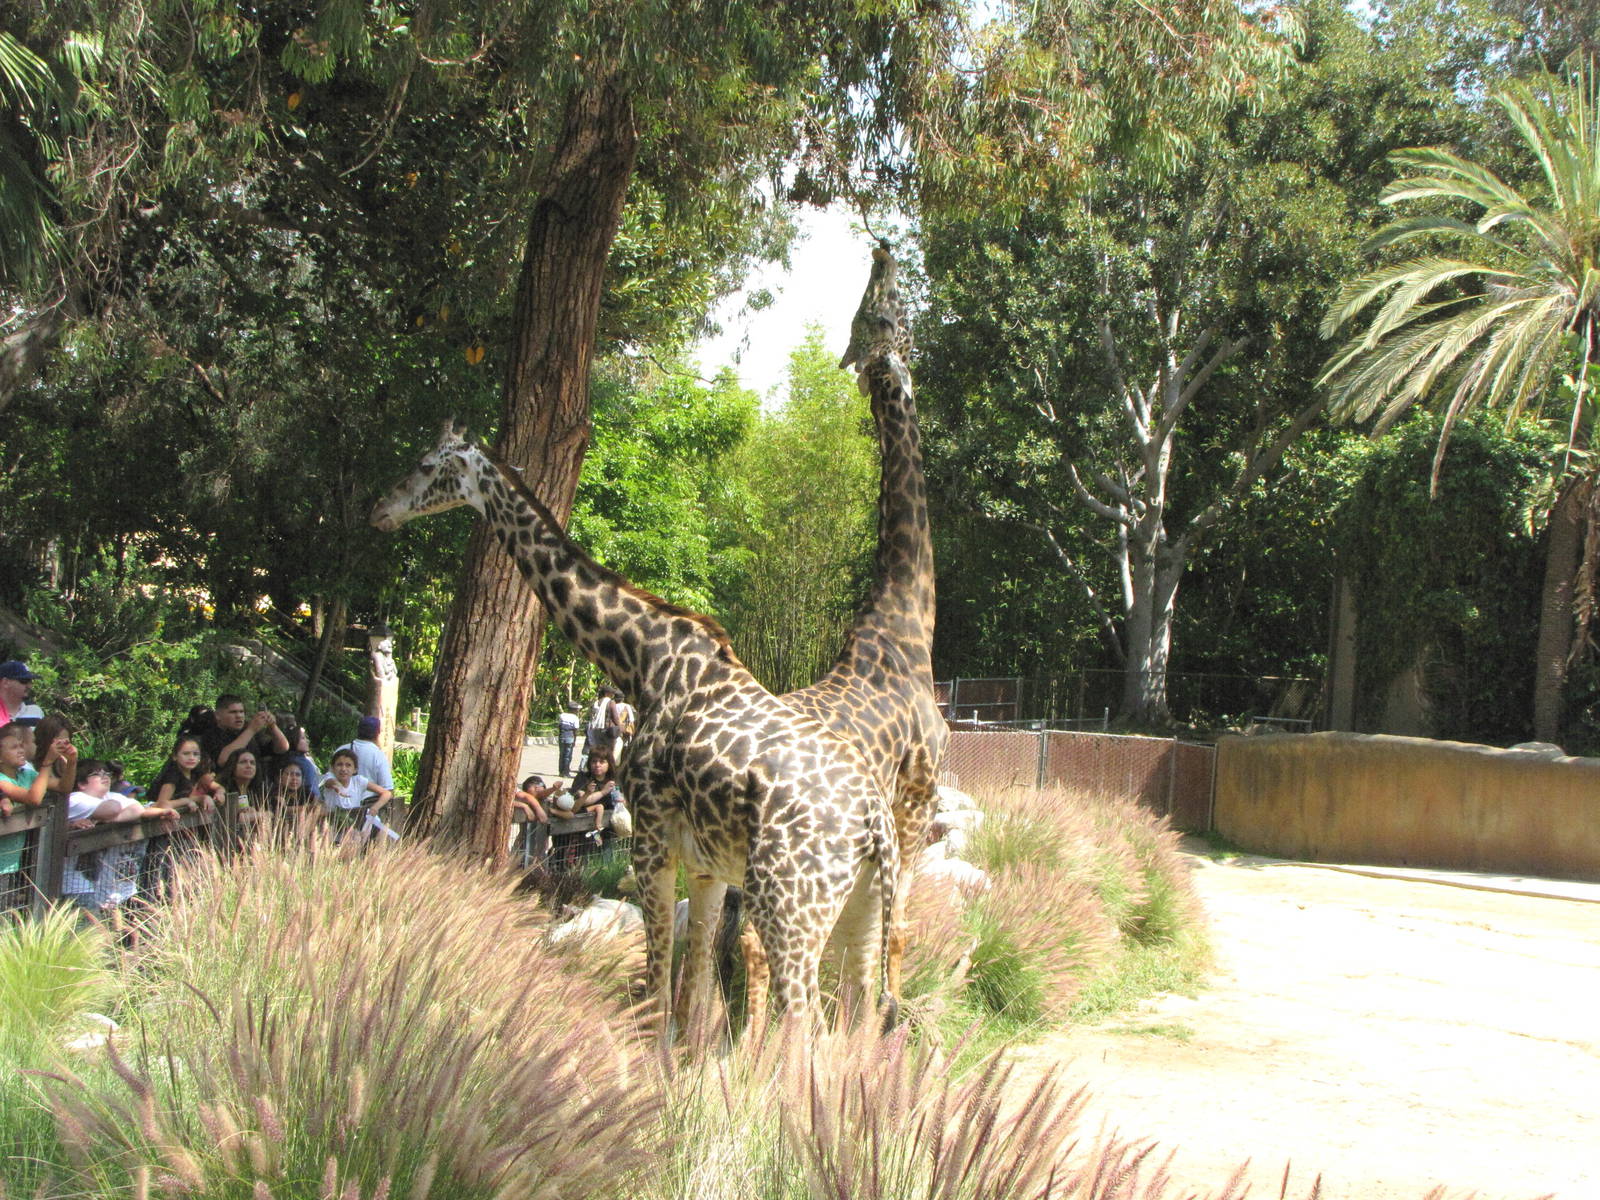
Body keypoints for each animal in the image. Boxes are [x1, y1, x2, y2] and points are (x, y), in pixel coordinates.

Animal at [370, 423, 899, 1028]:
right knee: (857, 1015)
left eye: (426, 465)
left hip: (789, 908)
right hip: (860, 907)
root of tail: (876, 823)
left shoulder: (649, 840)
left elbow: (657, 984)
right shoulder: (707, 866)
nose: (378, 510)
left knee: (803, 1022)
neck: (641, 659)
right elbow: (694, 993)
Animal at [743, 244, 947, 1020]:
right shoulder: (919, 799)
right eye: (887, 315)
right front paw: (890, 1020)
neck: (909, 620)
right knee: (766, 947)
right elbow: (896, 933)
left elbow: (868, 942)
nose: (884, 247)